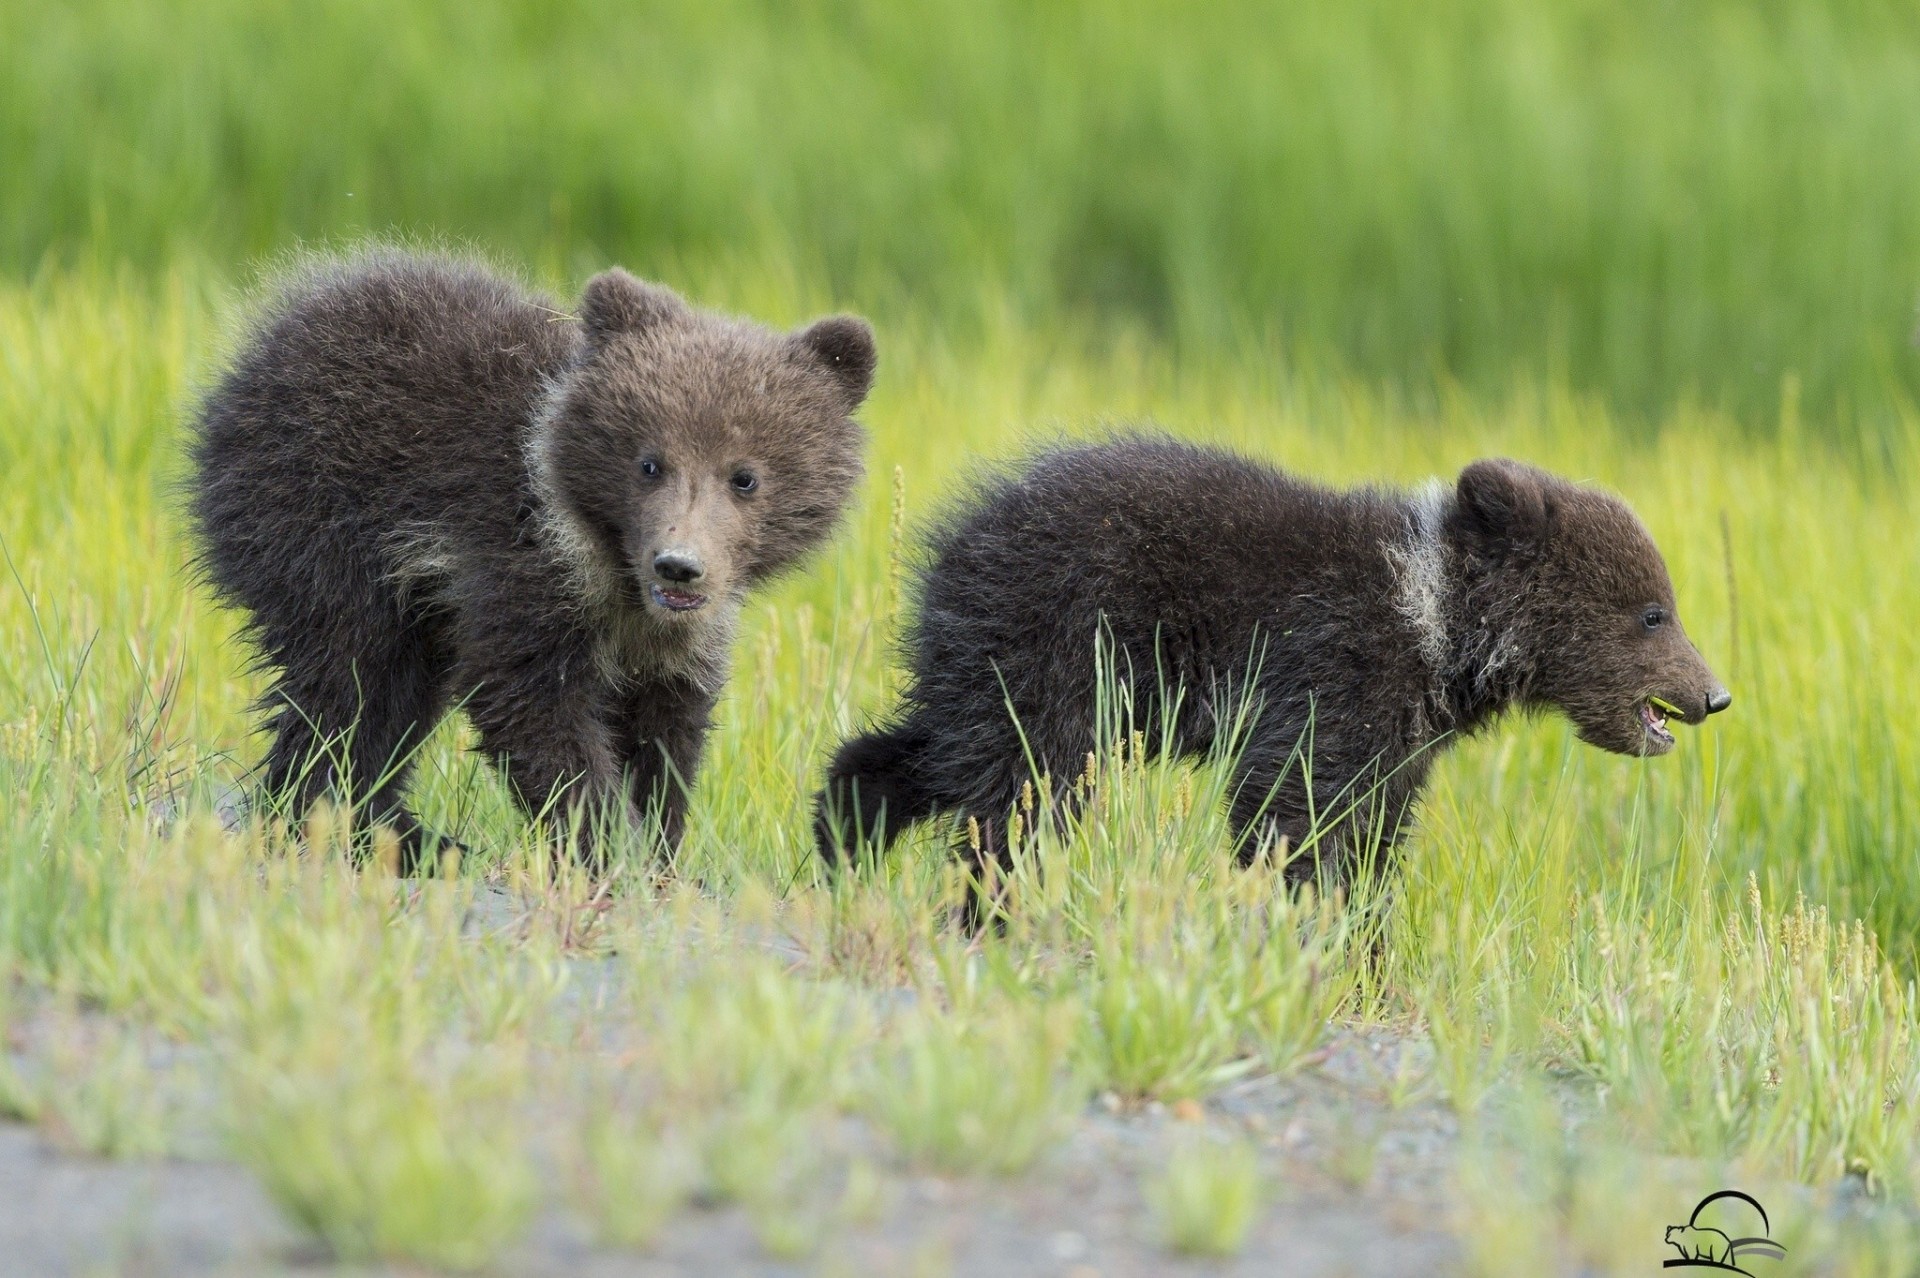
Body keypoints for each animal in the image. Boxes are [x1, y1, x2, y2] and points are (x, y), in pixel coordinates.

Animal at [191, 249, 874, 872]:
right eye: (649, 462)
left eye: (745, 476)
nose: (679, 564)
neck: (611, 568)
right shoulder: (523, 569)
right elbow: (532, 704)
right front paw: (610, 847)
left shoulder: (671, 643)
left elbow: (665, 731)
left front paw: (661, 845)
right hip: (321, 522)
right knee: (350, 678)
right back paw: (353, 829)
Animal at [814, 434, 1729, 896]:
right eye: (1654, 612)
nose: (1714, 694)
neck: (1435, 623)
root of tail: (957, 540)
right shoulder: (1335, 672)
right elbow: (1294, 811)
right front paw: (1304, 922)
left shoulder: (1403, 739)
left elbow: (1373, 831)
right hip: (1059, 650)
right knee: (1023, 787)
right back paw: (993, 904)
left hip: (988, 665)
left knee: (940, 752)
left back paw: (841, 843)